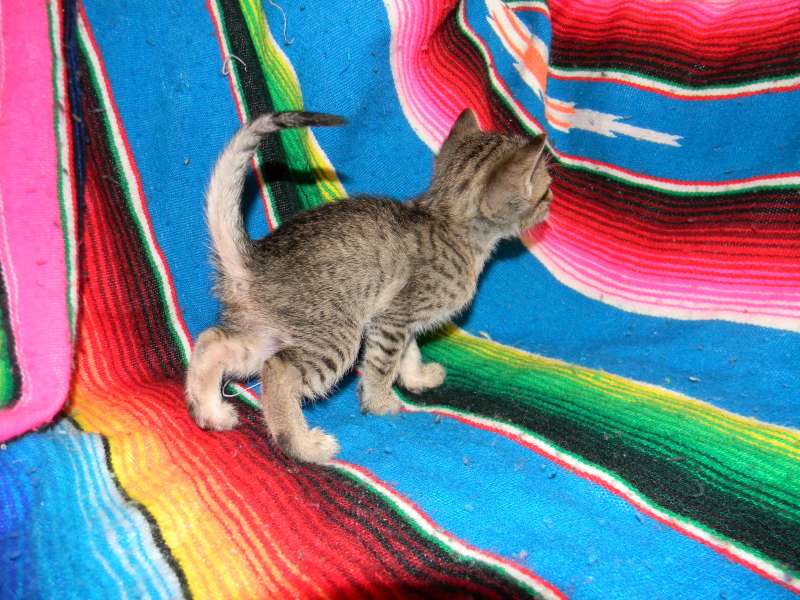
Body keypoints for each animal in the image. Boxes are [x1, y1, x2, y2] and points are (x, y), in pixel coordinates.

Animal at [186, 109, 552, 463]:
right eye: (546, 190)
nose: (550, 205)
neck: (447, 218)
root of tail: (254, 260)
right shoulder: (393, 319)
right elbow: (383, 364)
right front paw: (379, 402)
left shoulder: (400, 319)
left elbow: (409, 352)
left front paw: (416, 377)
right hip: (336, 336)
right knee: (278, 369)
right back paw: (304, 446)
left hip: (267, 332)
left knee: (212, 341)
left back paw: (211, 411)